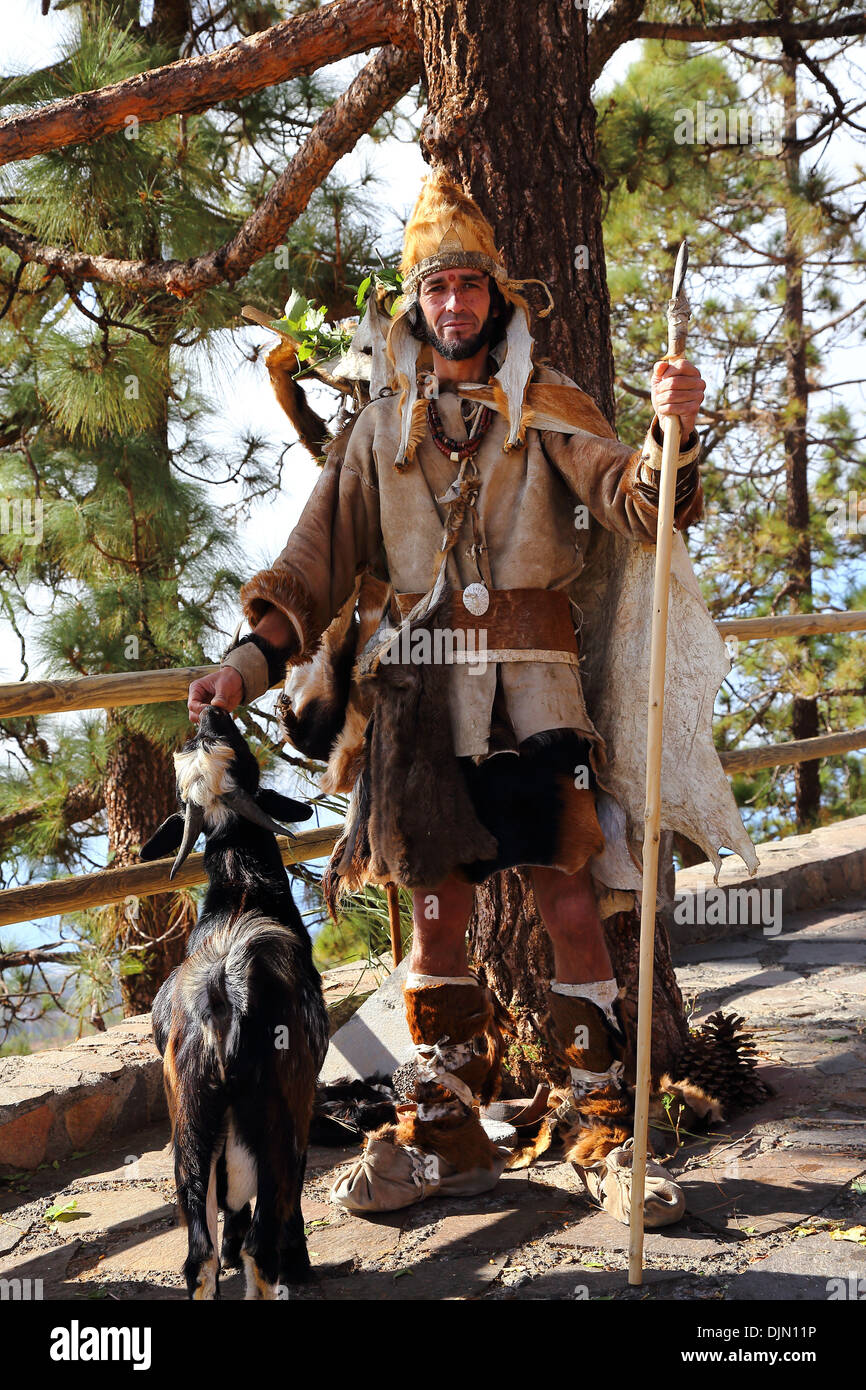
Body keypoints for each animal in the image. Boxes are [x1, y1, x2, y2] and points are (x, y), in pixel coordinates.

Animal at [140, 706, 330, 1301]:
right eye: (247, 754)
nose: (212, 709)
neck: (243, 891)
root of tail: (224, 999)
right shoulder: (301, 1104)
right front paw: (301, 1261)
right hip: (276, 1122)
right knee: (261, 1247)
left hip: (189, 1128)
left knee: (197, 1256)